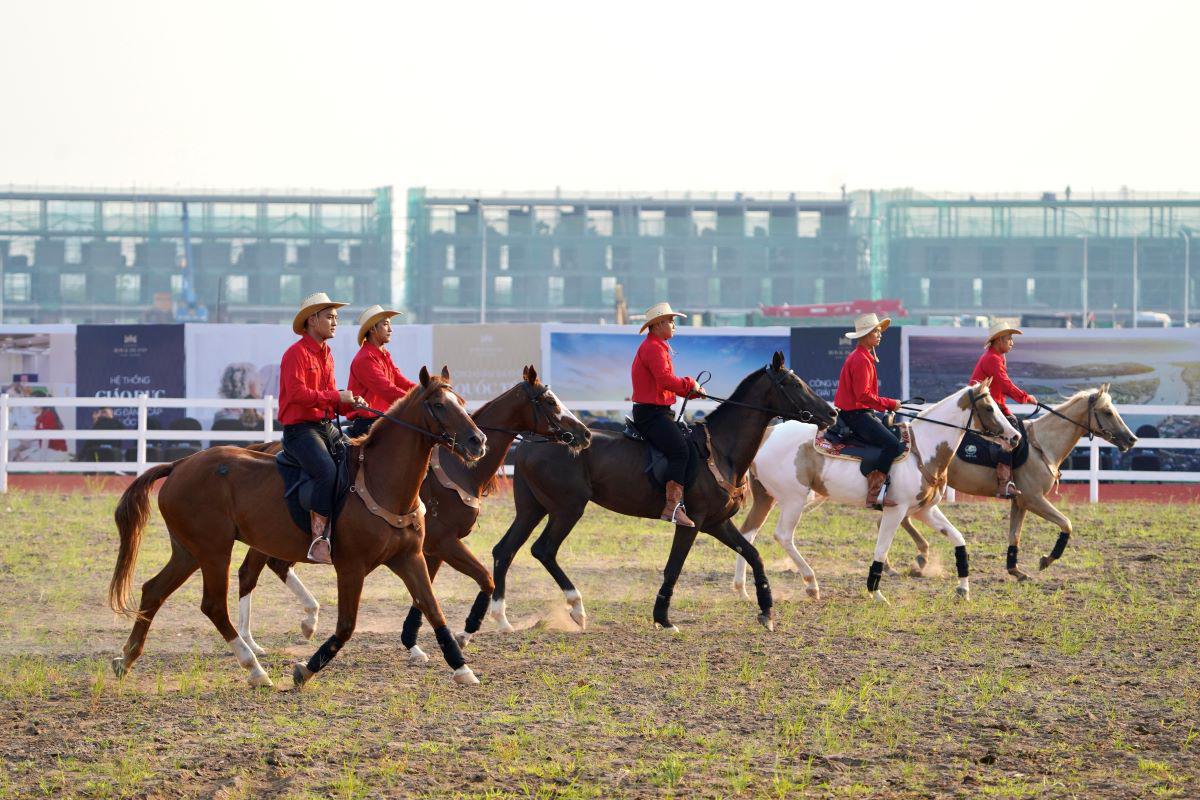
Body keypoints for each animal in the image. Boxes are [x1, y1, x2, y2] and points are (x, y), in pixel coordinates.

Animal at [108, 369, 489, 690]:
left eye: (462, 402)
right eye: (439, 405)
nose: (478, 441)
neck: (381, 482)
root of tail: (179, 464)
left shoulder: (410, 558)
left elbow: (434, 609)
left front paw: (462, 667)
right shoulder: (351, 568)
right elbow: (346, 626)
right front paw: (305, 669)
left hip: (188, 552)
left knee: (153, 591)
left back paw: (126, 658)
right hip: (214, 551)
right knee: (214, 605)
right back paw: (255, 668)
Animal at [231, 367, 592, 662]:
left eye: (461, 401)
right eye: (549, 401)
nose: (584, 433)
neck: (458, 471)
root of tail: (263, 448)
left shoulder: (426, 549)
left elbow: (424, 593)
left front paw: (416, 642)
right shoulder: (444, 542)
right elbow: (481, 578)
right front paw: (462, 632)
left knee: (272, 568)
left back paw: (300, 623)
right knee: (249, 573)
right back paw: (253, 641)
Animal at [487, 352, 835, 633]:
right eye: (793, 383)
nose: (831, 414)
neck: (720, 448)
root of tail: (532, 441)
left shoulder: (717, 523)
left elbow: (753, 555)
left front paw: (766, 611)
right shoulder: (692, 523)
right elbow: (674, 567)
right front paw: (663, 618)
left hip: (532, 509)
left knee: (505, 550)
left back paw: (501, 618)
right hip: (566, 509)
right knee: (543, 550)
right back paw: (576, 608)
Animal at [729, 381, 1022, 599]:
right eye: (989, 407)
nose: (1015, 437)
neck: (923, 448)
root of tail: (768, 434)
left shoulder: (925, 510)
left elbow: (958, 539)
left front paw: (963, 588)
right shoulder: (896, 510)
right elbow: (881, 550)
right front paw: (876, 592)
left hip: (766, 498)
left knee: (748, 533)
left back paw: (742, 589)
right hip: (793, 499)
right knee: (783, 536)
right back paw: (811, 583)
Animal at [897, 383, 1137, 578]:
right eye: (1107, 412)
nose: (1132, 439)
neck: (1042, 446)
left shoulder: (1020, 502)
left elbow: (1015, 536)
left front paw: (1015, 569)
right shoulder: (1033, 499)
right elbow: (1066, 524)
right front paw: (1046, 560)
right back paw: (918, 559)